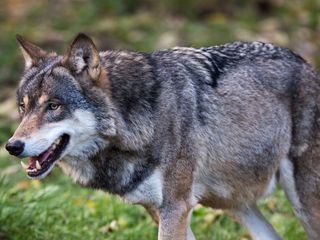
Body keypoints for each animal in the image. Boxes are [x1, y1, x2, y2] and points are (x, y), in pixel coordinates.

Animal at [4, 32, 320, 239]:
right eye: (23, 107)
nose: (12, 146)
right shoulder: (160, 211)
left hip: (304, 205)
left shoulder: (175, 209)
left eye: (53, 106)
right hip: (236, 206)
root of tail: (308, 65)